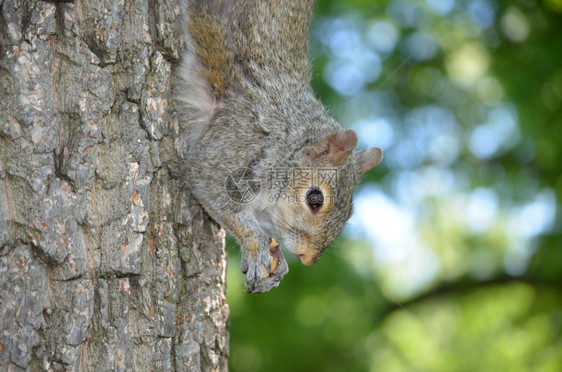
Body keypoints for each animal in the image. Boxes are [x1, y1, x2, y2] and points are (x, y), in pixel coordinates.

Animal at [175, 0, 382, 294]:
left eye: (350, 213)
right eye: (315, 199)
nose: (308, 258)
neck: (282, 141)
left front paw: (277, 260)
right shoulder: (231, 142)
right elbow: (211, 189)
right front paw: (255, 245)